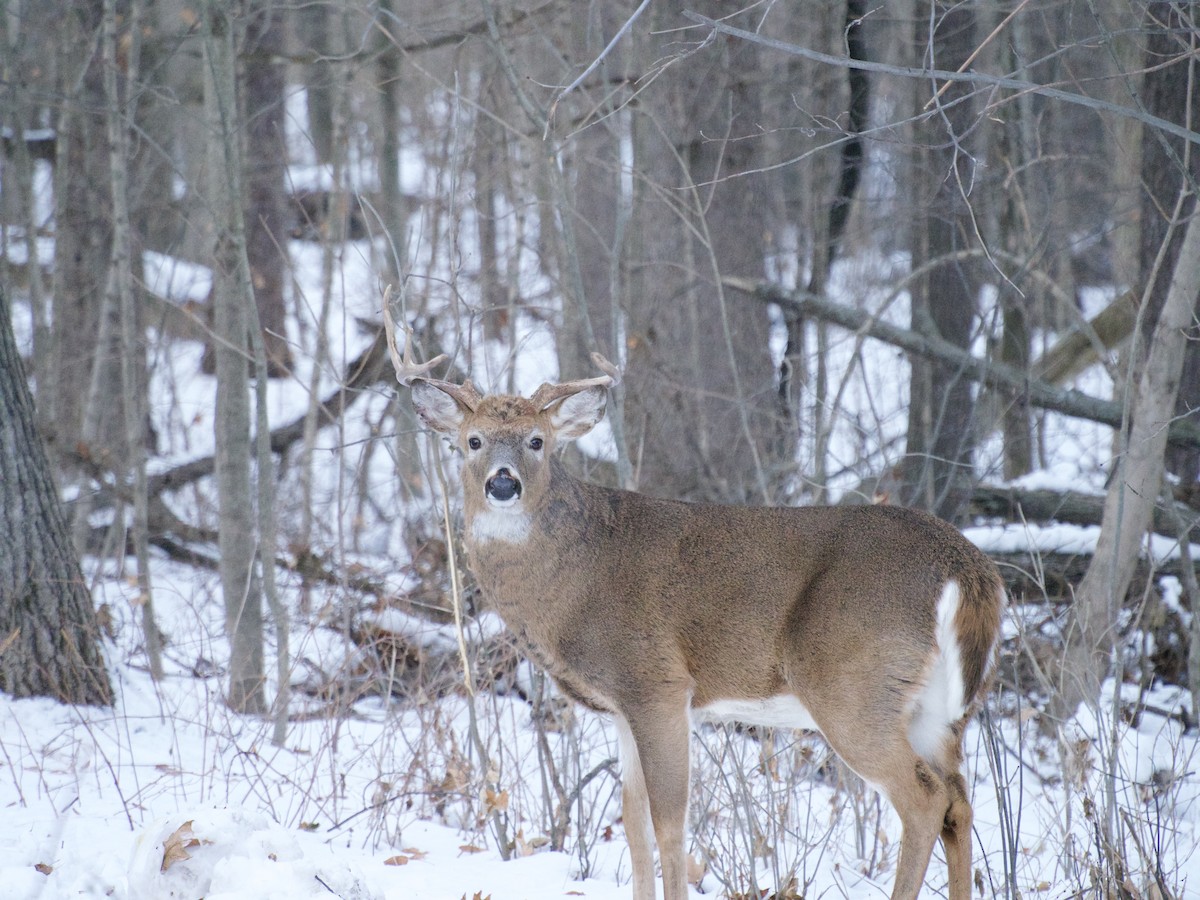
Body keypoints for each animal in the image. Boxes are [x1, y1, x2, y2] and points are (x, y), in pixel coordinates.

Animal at [383, 308, 1004, 900]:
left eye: (537, 441)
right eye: (473, 441)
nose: (503, 484)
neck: (573, 580)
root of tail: (967, 570)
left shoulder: (656, 683)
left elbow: (669, 824)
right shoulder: (622, 709)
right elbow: (633, 826)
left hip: (854, 684)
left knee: (924, 799)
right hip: (936, 711)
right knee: (959, 800)